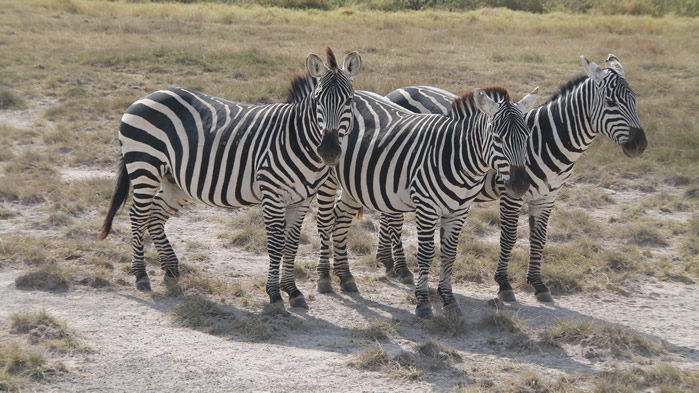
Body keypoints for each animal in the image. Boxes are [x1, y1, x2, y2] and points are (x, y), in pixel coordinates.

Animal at [100, 47, 364, 308]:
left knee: (155, 214)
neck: (295, 138)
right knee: (137, 216)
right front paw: (274, 294)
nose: (329, 151)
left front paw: (293, 290)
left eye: (349, 101)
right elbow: (276, 244)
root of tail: (147, 96)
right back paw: (141, 275)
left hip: (173, 180)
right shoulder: (272, 194)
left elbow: (291, 245)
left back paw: (171, 270)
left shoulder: (302, 200)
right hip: (145, 166)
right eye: (317, 101)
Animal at [304, 81, 540, 316]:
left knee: (341, 221)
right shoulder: (426, 207)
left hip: (354, 183)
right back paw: (324, 277)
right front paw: (423, 302)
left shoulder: (459, 211)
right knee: (325, 222)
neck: (456, 156)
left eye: (527, 137)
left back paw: (345, 276)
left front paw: (449, 299)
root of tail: (356, 93)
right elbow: (426, 253)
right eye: (498, 139)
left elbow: (449, 254)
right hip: (328, 177)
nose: (521, 185)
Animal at [380, 53, 648, 302]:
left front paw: (539, 284)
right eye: (611, 102)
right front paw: (504, 285)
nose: (640, 145)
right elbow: (508, 238)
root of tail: (394, 92)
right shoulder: (512, 194)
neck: (546, 140)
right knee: (394, 218)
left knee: (388, 212)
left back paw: (387, 261)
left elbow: (539, 239)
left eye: (635, 99)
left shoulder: (547, 198)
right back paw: (401, 268)